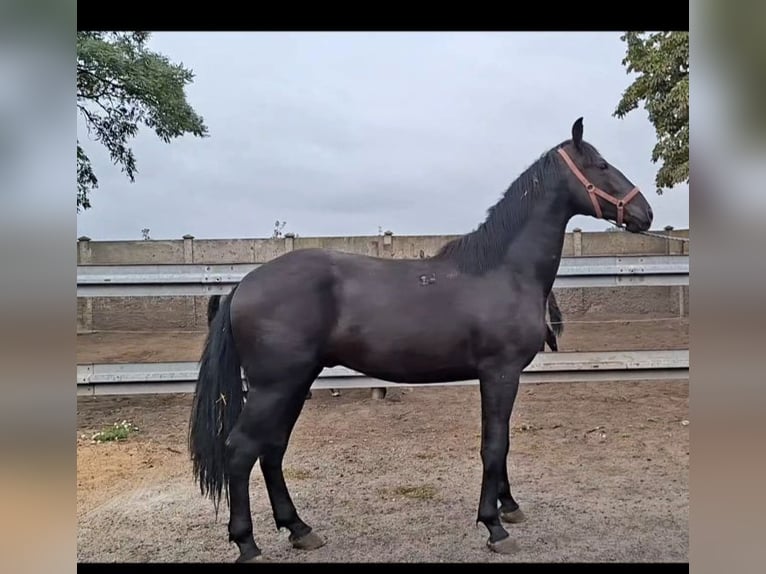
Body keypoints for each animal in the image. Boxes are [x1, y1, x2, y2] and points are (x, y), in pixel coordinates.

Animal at [188, 117, 653, 561]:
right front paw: (494, 527)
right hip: (275, 386)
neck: (503, 271)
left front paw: (509, 507)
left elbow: (501, 444)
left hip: (295, 384)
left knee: (272, 449)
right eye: (601, 166)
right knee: (241, 450)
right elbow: (494, 444)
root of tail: (245, 285)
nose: (644, 213)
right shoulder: (500, 374)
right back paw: (247, 544)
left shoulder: (501, 377)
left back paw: (300, 529)